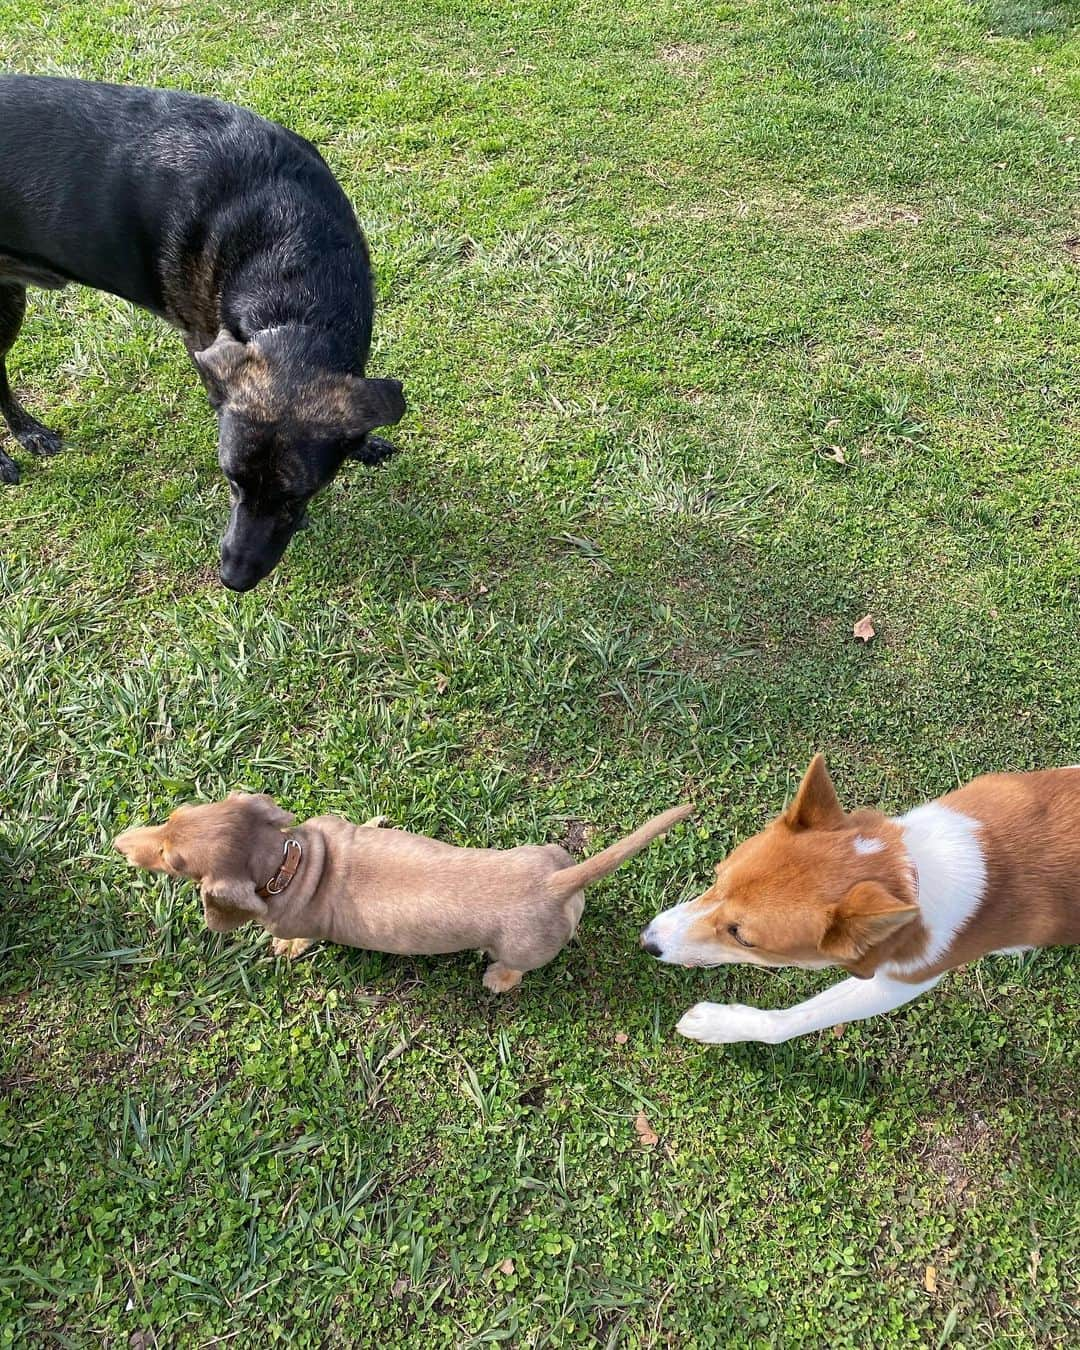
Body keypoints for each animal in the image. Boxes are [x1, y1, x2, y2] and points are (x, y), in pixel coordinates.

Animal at [116, 788, 691, 993]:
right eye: (174, 815)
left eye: (170, 860)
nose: (120, 843)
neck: (290, 862)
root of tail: (553, 882)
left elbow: (295, 939)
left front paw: (285, 947)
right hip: (548, 857)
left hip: (518, 950)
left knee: (515, 967)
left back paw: (497, 980)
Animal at [642, 761, 1080, 1042]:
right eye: (718, 877)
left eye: (744, 938)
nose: (647, 941)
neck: (912, 866)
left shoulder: (903, 981)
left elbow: (794, 1019)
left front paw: (718, 1024)